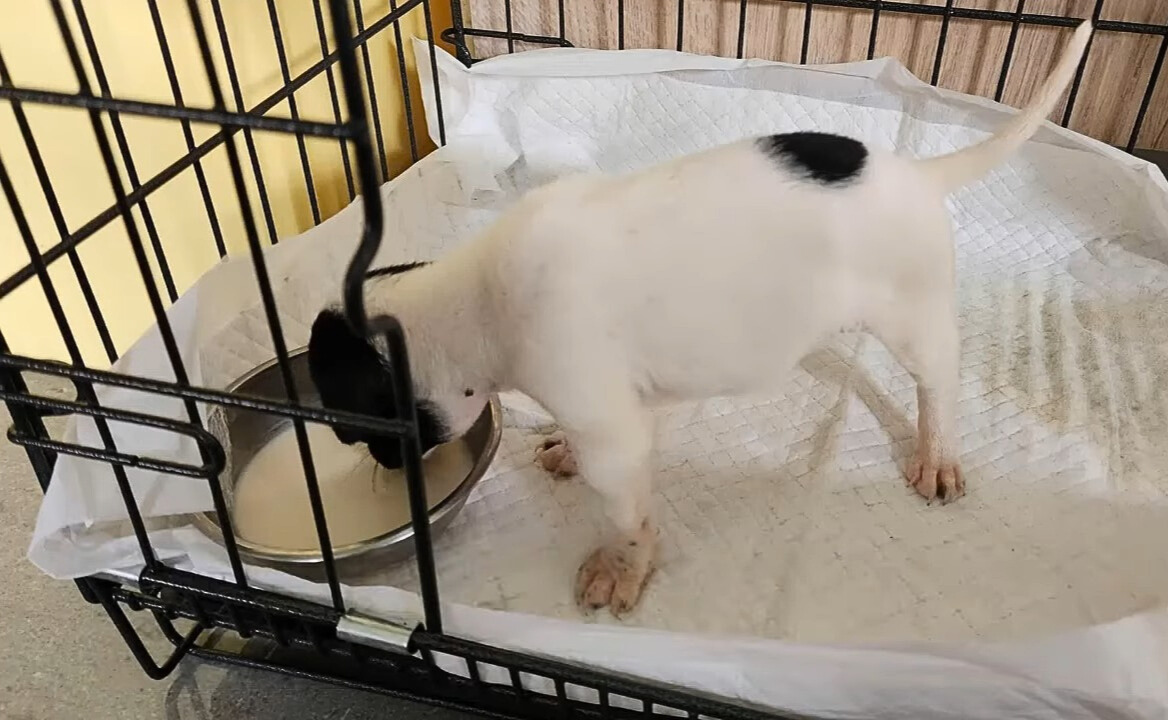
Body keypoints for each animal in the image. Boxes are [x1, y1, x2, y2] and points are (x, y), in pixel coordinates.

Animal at [310, 22, 1093, 617]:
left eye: (354, 429)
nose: (381, 468)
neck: (471, 298)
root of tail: (919, 175)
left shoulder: (607, 431)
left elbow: (627, 514)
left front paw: (620, 569)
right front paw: (564, 454)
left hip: (914, 315)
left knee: (939, 384)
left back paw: (937, 453)